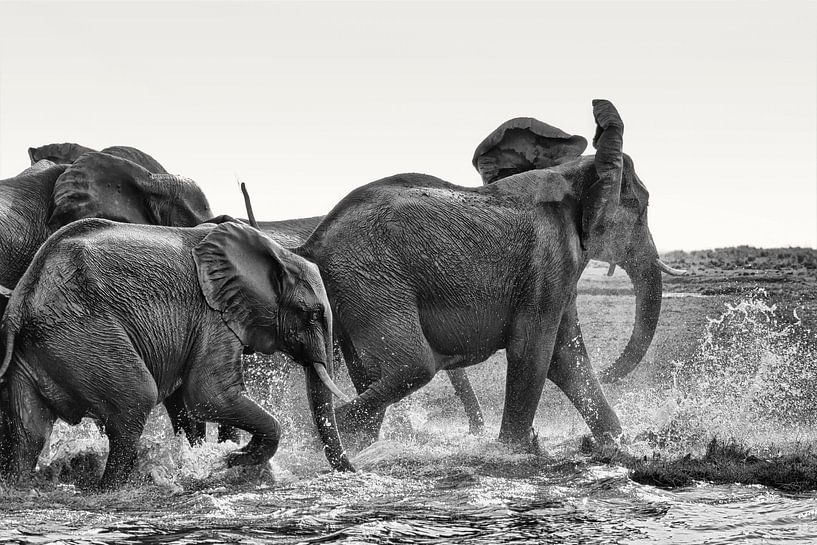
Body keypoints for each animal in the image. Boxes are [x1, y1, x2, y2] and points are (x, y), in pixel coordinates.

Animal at [0, 218, 352, 488]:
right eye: (312, 314)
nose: (352, 471)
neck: (276, 252)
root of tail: (22, 297)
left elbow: (184, 406)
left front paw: (207, 460)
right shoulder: (213, 316)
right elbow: (209, 396)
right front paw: (231, 459)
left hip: (44, 346)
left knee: (29, 431)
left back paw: (20, 486)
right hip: (84, 336)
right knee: (135, 401)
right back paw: (108, 490)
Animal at [286, 100, 676, 448]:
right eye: (641, 209)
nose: (612, 373)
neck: (574, 175)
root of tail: (314, 243)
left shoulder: (555, 269)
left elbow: (566, 358)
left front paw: (617, 445)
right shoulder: (549, 257)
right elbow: (533, 350)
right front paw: (513, 450)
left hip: (352, 289)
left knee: (374, 373)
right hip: (373, 279)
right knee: (414, 365)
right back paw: (332, 430)